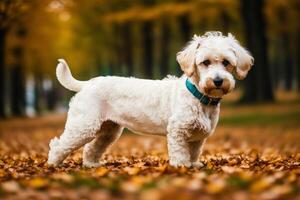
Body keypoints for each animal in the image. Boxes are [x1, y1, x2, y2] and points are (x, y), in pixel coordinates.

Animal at [47, 32, 253, 168]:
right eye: (205, 62)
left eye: (226, 62)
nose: (218, 81)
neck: (198, 97)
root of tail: (89, 83)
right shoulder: (178, 131)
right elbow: (180, 153)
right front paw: (181, 167)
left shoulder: (198, 136)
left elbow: (194, 153)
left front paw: (193, 166)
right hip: (83, 126)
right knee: (59, 145)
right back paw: (53, 164)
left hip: (108, 130)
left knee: (91, 148)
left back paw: (91, 165)